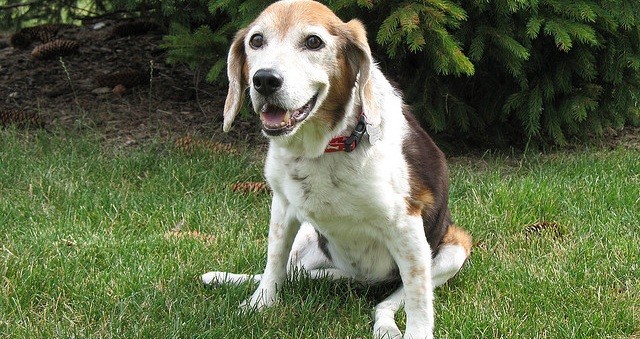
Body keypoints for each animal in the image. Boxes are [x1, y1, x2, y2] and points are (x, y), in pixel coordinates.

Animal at [202, 1, 472, 338]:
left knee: (384, 303)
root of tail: (362, 279)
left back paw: (386, 325)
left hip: (455, 247)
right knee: (292, 271)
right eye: (256, 40)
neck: (323, 147)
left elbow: (419, 301)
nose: (264, 80)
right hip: (308, 235)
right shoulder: (283, 207)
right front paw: (258, 305)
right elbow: (273, 264)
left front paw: (417, 333)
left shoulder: (407, 228)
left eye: (313, 42)